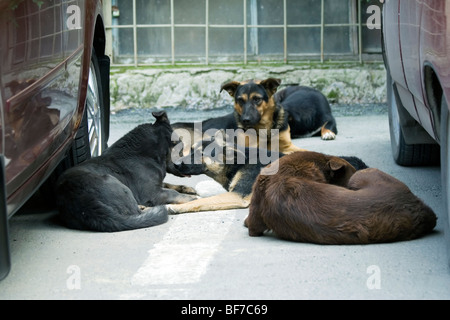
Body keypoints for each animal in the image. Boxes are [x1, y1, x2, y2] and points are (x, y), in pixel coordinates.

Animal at [56, 111, 197, 231]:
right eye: (181, 147)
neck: (147, 155)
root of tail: (86, 204)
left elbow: (169, 184)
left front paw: (187, 188)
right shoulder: (152, 193)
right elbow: (172, 192)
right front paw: (191, 199)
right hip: (115, 182)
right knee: (135, 212)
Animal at [165, 132, 366, 215]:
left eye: (199, 154)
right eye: (190, 150)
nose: (174, 164)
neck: (239, 162)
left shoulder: (238, 196)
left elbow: (199, 202)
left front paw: (174, 206)